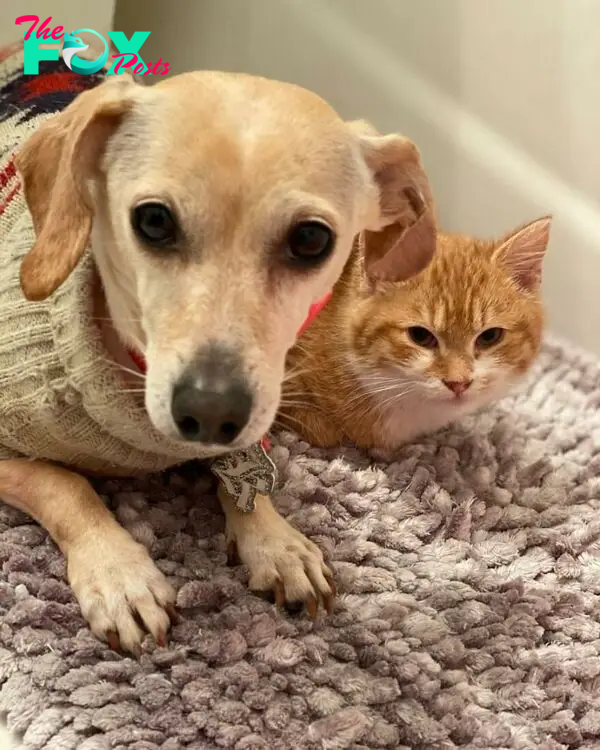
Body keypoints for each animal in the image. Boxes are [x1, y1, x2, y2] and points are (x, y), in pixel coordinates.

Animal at [0, 50, 434, 656]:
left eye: (312, 240)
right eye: (153, 220)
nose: (210, 413)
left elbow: (247, 480)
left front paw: (277, 542)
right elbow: (65, 485)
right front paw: (121, 575)